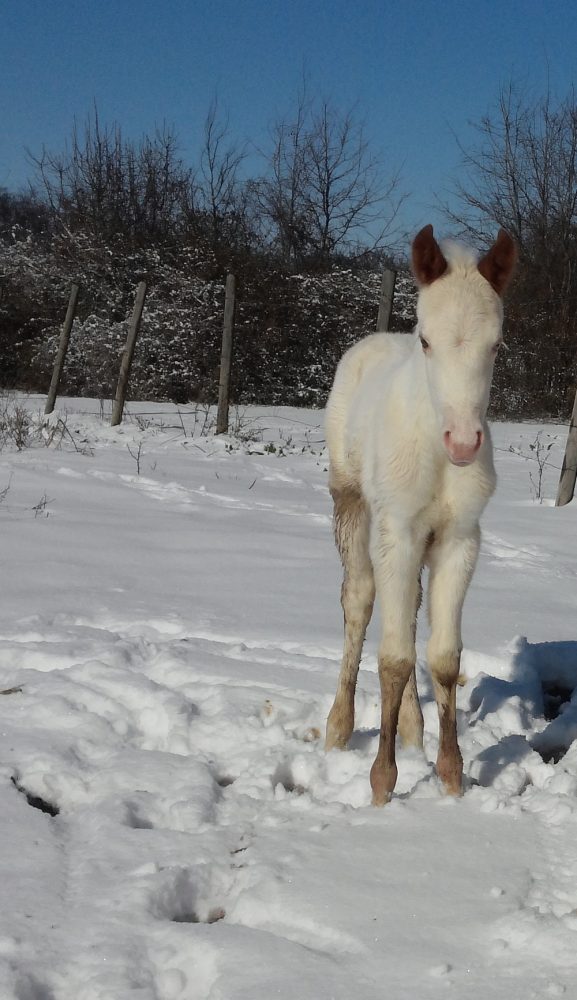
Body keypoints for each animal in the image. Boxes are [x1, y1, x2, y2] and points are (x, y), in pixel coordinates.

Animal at [324, 225, 516, 804]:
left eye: (496, 345)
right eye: (427, 341)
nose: (464, 443)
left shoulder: (460, 540)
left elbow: (443, 658)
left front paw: (452, 778)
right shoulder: (398, 532)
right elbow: (393, 657)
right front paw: (382, 784)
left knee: (406, 610)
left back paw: (413, 730)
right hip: (352, 507)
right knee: (360, 601)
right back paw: (338, 728)